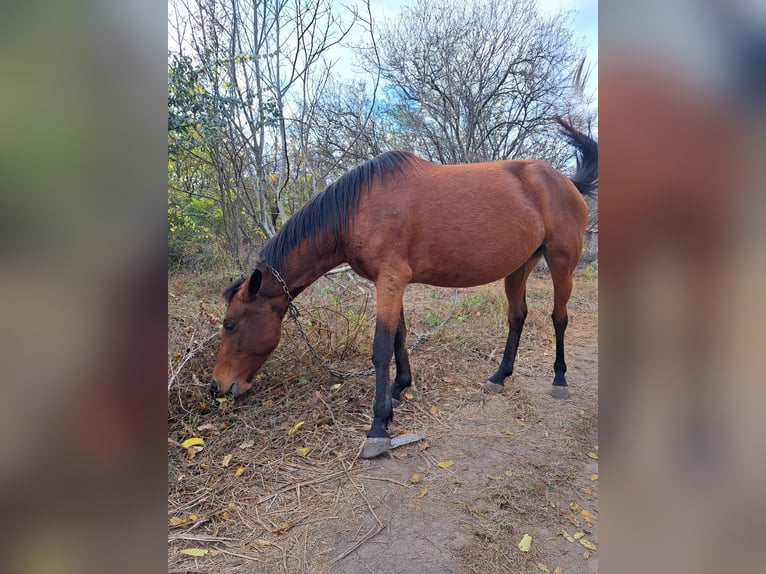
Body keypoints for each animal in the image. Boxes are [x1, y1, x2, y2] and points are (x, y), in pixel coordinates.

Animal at [212, 117, 600, 460]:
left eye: (230, 324)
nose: (218, 386)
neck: (356, 209)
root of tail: (563, 181)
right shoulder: (390, 282)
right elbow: (399, 334)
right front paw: (400, 388)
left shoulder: (391, 279)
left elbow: (381, 347)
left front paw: (378, 427)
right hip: (519, 266)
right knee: (517, 316)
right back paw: (499, 377)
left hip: (561, 263)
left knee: (559, 317)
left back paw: (559, 380)